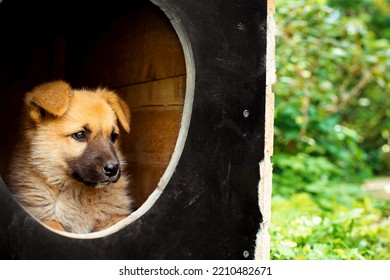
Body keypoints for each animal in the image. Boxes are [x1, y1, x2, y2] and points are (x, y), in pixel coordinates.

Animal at [6, 81, 133, 234]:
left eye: (113, 136)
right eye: (80, 135)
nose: (113, 169)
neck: (77, 193)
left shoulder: (113, 218)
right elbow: (53, 223)